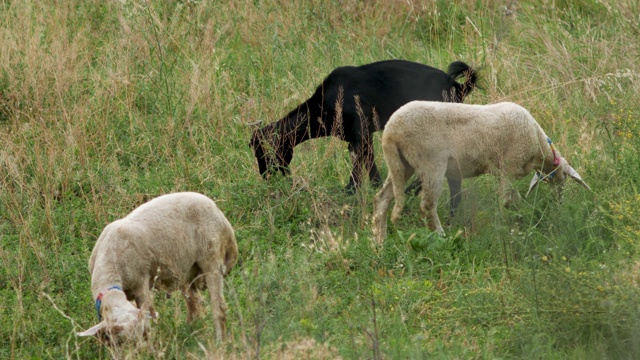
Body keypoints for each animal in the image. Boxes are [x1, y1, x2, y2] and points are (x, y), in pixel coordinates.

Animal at [77, 191, 238, 344]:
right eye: (118, 342)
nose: (139, 352)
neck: (111, 265)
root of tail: (219, 213)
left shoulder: (141, 283)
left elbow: (148, 315)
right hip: (186, 271)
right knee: (195, 303)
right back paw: (189, 331)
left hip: (211, 257)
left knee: (218, 307)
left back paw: (220, 342)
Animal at [376, 100, 592, 243]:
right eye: (565, 177)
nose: (559, 201)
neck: (539, 144)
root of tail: (390, 132)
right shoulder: (509, 167)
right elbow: (506, 201)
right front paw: (510, 227)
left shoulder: (506, 172)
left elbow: (513, 200)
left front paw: (520, 220)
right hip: (430, 161)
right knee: (427, 205)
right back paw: (440, 236)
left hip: (402, 163)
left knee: (381, 198)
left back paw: (378, 241)